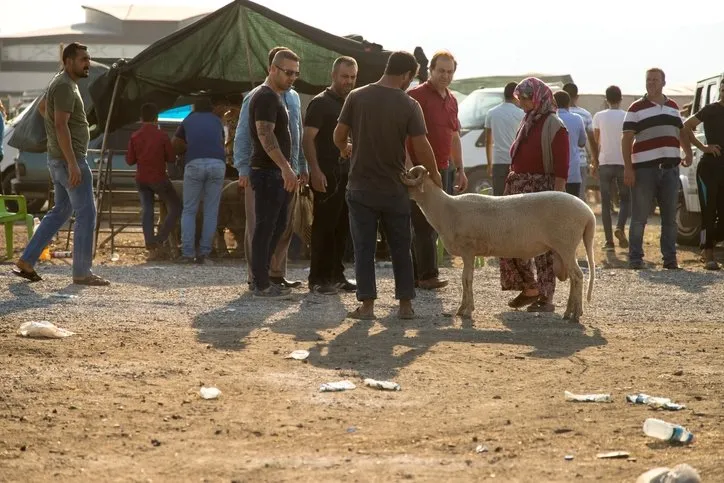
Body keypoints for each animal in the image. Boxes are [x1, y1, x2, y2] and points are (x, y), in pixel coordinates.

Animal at [402, 166, 592, 326]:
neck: (445, 209)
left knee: (578, 276)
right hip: (564, 249)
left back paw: (575, 315)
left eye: (409, 178)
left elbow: (466, 279)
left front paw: (466, 311)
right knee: (574, 278)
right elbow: (465, 280)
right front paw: (464, 308)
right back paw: (568, 313)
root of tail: (588, 212)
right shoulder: (468, 254)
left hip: (566, 246)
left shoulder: (468, 250)